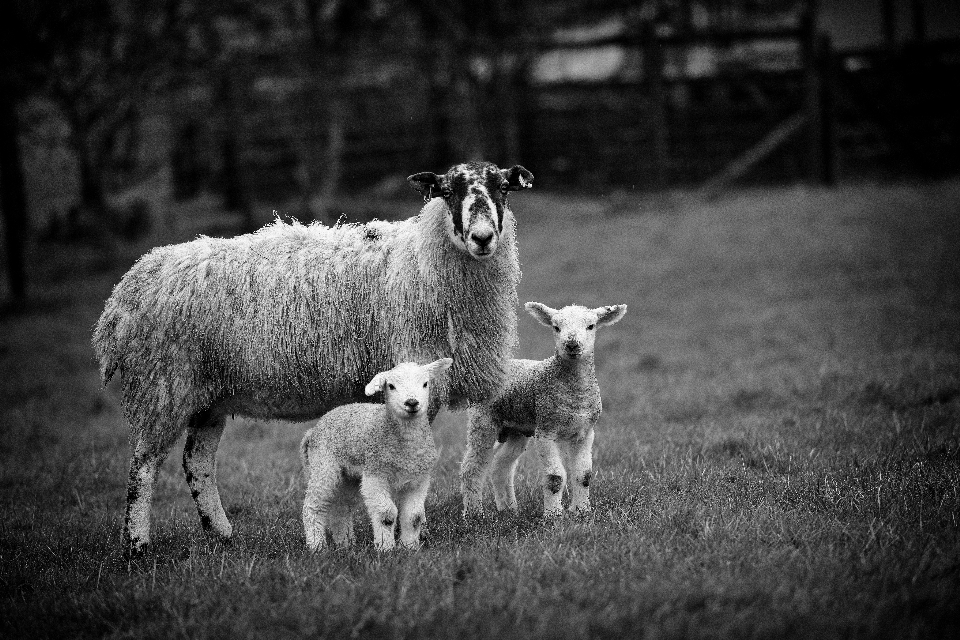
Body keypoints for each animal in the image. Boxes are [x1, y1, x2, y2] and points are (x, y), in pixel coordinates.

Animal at [302, 360, 456, 552]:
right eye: (391, 386)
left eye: (425, 383)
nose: (412, 402)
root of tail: (313, 430)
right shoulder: (375, 474)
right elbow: (386, 514)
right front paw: (385, 548)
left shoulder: (418, 480)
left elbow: (414, 516)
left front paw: (409, 547)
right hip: (324, 464)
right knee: (313, 505)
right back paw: (317, 546)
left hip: (348, 476)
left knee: (341, 508)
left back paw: (346, 544)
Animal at [460, 302, 628, 516]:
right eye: (556, 327)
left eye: (591, 326)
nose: (572, 345)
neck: (575, 395)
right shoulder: (546, 430)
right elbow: (555, 477)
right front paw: (553, 514)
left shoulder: (585, 432)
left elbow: (584, 475)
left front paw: (582, 510)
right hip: (483, 420)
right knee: (472, 467)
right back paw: (474, 513)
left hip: (517, 429)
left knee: (501, 466)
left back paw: (508, 509)